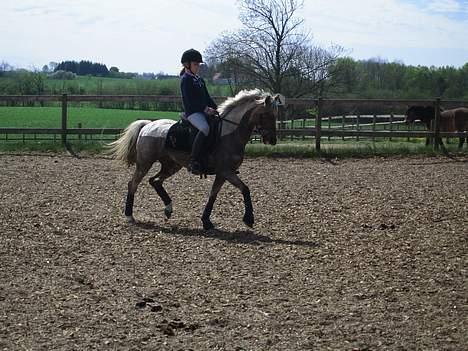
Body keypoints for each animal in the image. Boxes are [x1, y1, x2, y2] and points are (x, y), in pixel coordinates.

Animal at [109, 88, 286, 231]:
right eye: (267, 115)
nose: (272, 140)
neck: (229, 133)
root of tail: (147, 125)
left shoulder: (223, 174)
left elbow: (213, 195)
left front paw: (206, 221)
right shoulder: (226, 172)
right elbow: (245, 189)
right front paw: (249, 219)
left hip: (171, 165)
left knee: (155, 181)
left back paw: (168, 208)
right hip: (145, 163)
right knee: (133, 184)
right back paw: (129, 216)